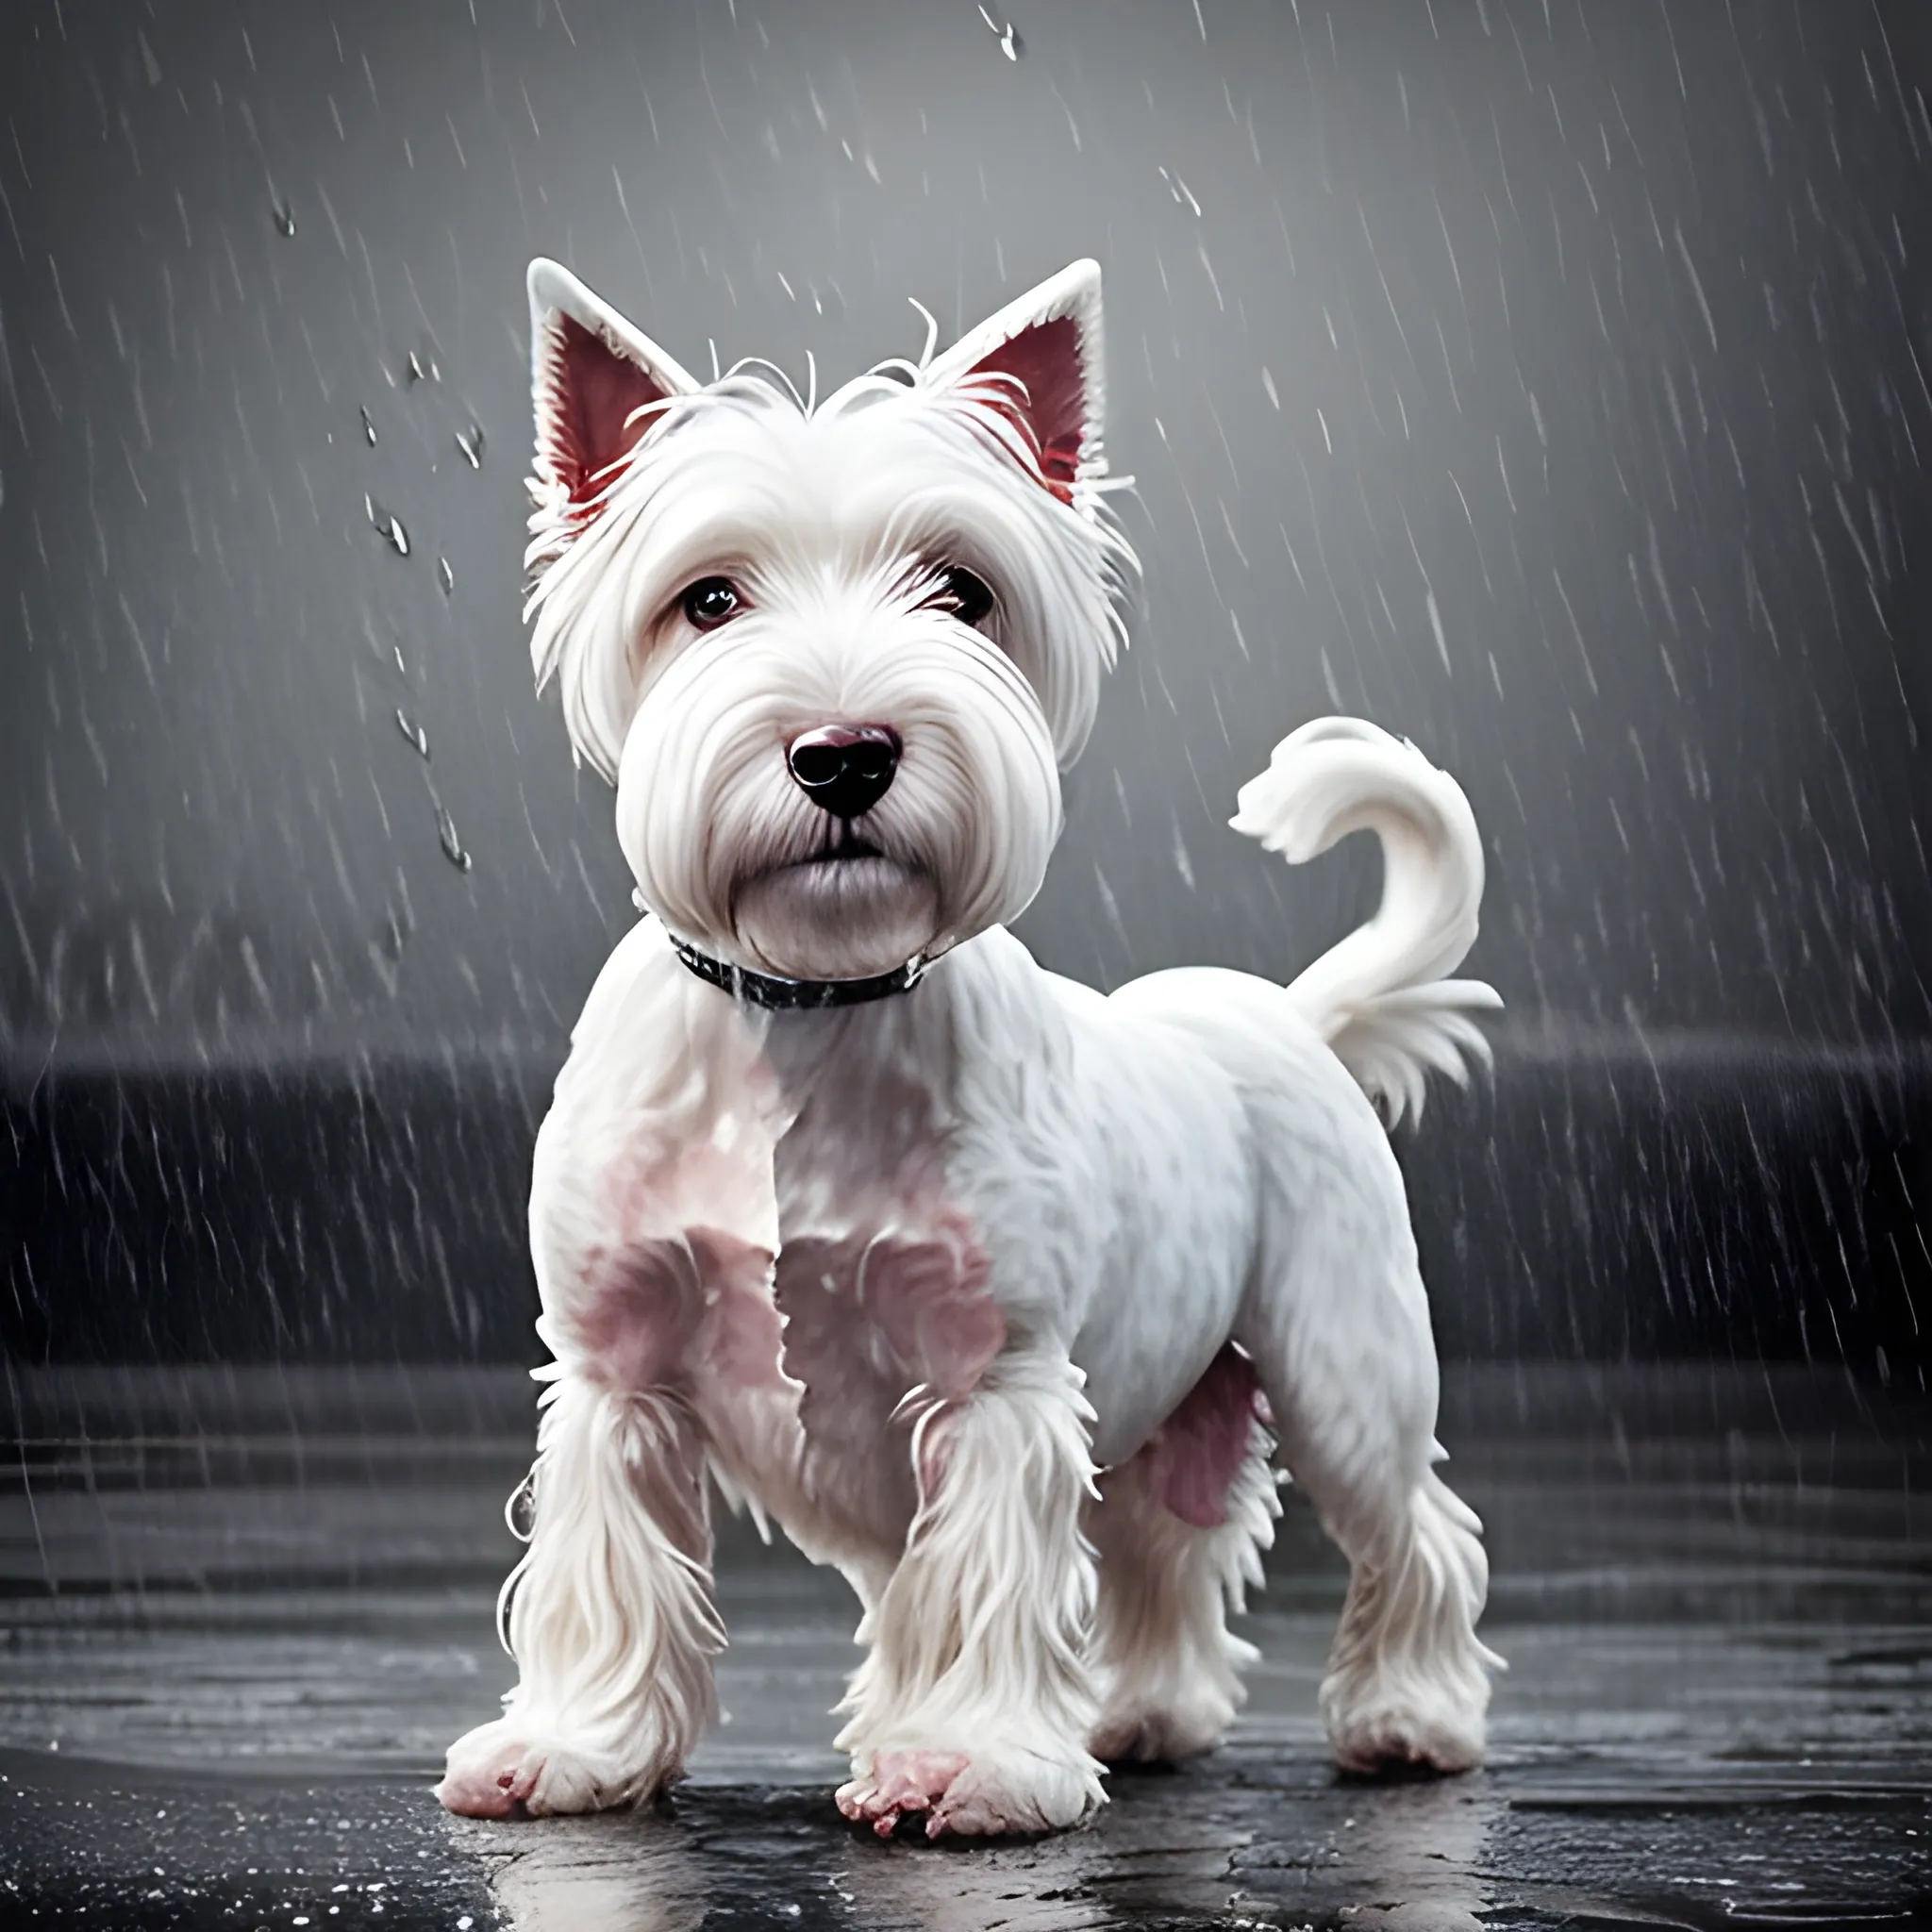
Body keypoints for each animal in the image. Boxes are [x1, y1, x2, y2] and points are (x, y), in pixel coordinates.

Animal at [438, 257, 1507, 1839]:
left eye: (963, 591)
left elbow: (988, 1582)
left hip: (1345, 1360)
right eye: (707, 599)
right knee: (1161, 1541)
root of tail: (1289, 1015)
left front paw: (974, 1761)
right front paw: (571, 1746)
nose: (845, 754)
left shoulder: (992, 1381)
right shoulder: (614, 1372)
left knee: (1408, 1526)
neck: (806, 1010)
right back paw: (1138, 1712)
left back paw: (1409, 1718)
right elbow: (608, 1568)